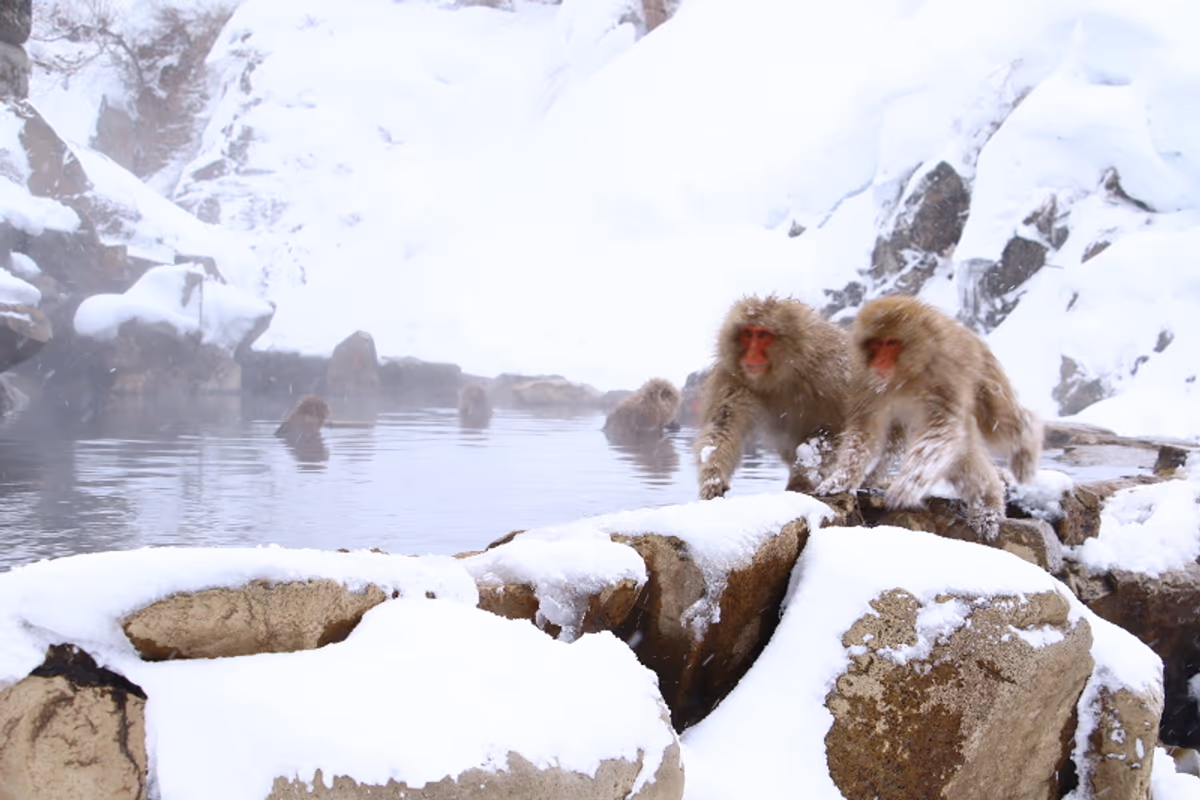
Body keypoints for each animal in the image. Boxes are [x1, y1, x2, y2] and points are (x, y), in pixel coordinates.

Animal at [695, 294, 853, 500]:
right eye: (748, 333)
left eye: (762, 335)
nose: (751, 354)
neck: (786, 373)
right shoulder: (734, 377)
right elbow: (723, 424)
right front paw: (713, 477)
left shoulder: (832, 375)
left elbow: (832, 429)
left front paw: (801, 478)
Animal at [815, 295, 1043, 537]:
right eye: (876, 344)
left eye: (891, 343)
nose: (879, 362)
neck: (908, 375)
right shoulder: (865, 380)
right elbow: (865, 431)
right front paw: (842, 479)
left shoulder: (944, 376)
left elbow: (940, 429)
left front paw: (906, 486)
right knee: (962, 455)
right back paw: (986, 504)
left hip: (984, 374)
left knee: (997, 424)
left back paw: (1023, 450)